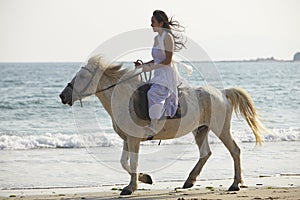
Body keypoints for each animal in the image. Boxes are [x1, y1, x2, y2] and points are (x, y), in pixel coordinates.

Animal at [59, 55, 266, 195]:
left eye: (81, 77)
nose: (62, 96)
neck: (124, 98)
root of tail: (222, 93)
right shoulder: (127, 139)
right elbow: (124, 162)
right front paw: (144, 178)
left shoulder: (133, 139)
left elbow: (132, 163)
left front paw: (130, 187)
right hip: (200, 130)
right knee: (205, 153)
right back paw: (189, 181)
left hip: (220, 128)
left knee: (235, 151)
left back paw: (235, 184)